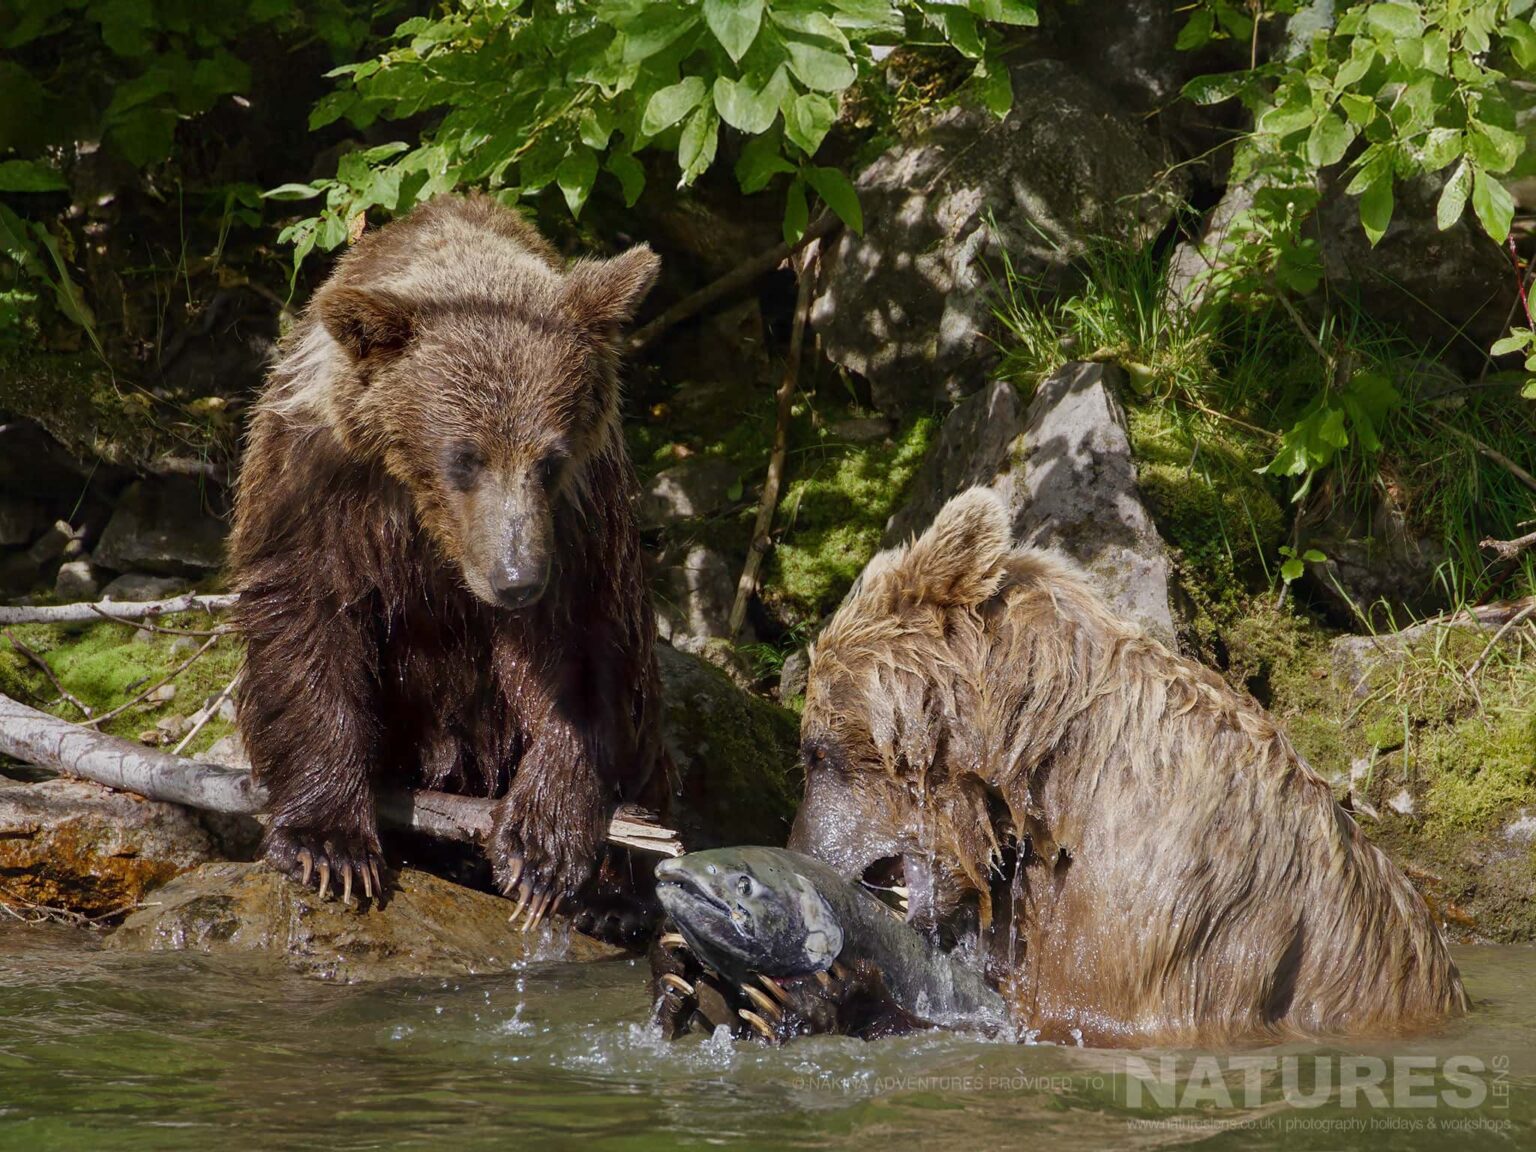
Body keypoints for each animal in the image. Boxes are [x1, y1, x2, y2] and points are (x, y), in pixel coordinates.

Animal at [229, 194, 667, 926]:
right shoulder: (315, 483)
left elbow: (585, 650)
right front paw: (330, 845)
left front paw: (542, 851)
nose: (516, 580)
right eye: (464, 457)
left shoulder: (581, 520)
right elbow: (304, 617)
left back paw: (615, 898)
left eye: (549, 460)